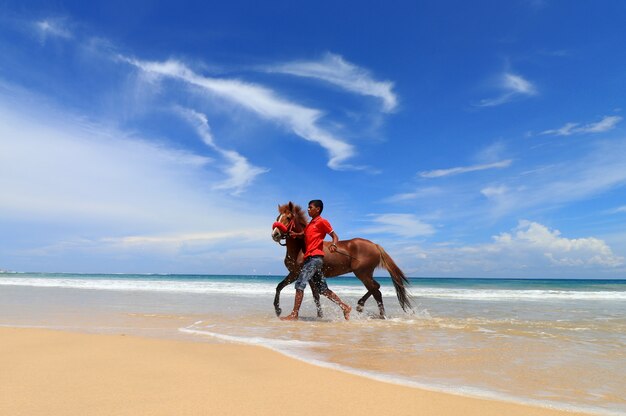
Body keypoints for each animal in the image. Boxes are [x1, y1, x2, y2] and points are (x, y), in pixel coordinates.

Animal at [270, 202, 410, 318]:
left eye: (288, 218)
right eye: (277, 218)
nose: (275, 234)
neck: (300, 248)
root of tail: (375, 245)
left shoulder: (304, 274)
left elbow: (314, 295)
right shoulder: (296, 274)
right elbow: (281, 287)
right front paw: (278, 310)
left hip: (362, 273)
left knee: (376, 288)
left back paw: (362, 306)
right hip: (365, 274)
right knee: (377, 291)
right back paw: (378, 314)